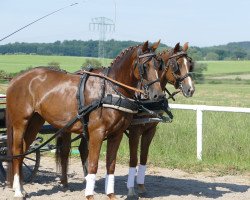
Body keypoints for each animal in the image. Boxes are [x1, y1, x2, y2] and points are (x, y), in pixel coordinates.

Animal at [5, 41, 164, 200]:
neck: (110, 90)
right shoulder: (97, 133)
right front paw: (89, 195)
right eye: (145, 66)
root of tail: (15, 79)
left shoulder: (116, 134)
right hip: (21, 122)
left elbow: (111, 165)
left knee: (24, 151)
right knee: (17, 150)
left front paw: (111, 194)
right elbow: (93, 164)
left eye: (159, 65)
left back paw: (22, 188)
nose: (158, 96)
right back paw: (18, 191)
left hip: (35, 122)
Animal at [127, 42, 195, 197]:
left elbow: (143, 157)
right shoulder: (134, 131)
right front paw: (131, 190)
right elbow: (133, 159)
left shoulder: (150, 130)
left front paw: (141, 187)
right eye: (176, 65)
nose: (191, 89)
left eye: (190, 64)